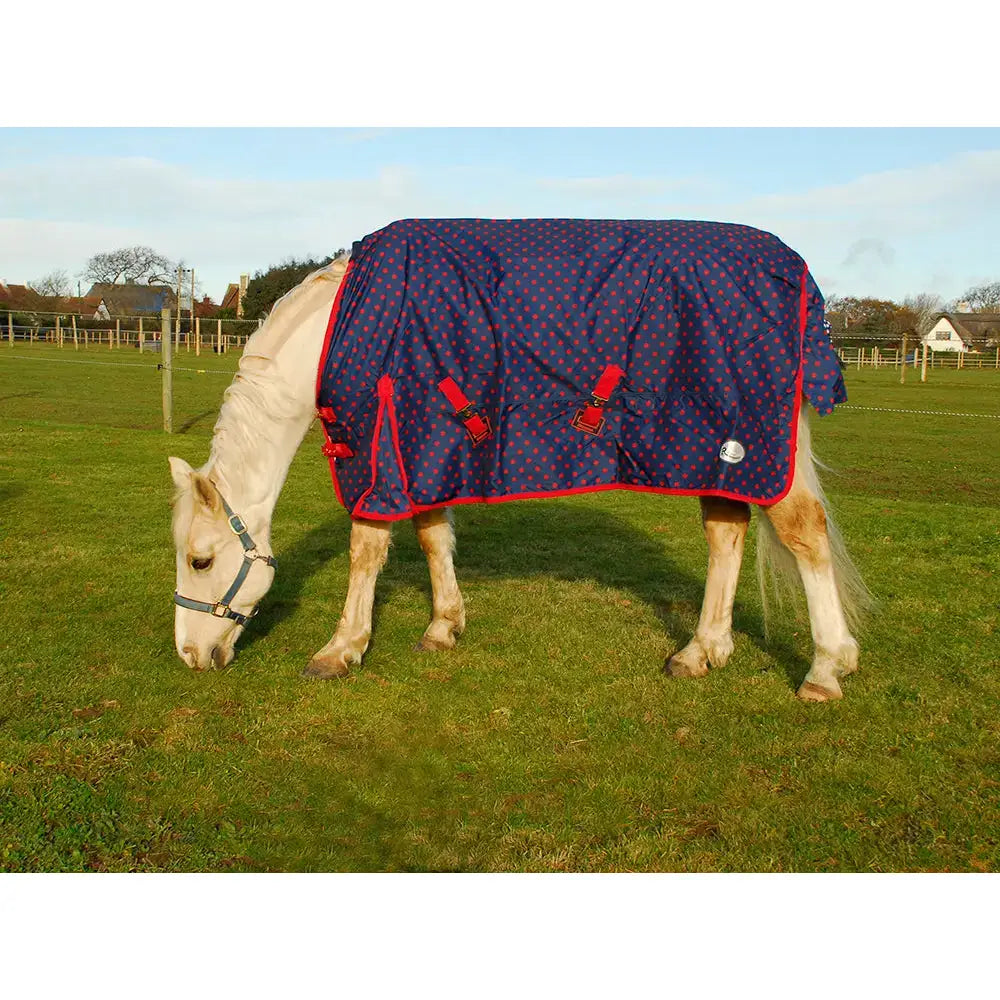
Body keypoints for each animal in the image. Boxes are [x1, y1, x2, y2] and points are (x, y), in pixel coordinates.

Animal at [169, 220, 867, 702]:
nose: (188, 657)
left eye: (201, 560)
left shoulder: (380, 455)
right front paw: (443, 626)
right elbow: (433, 535)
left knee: (804, 534)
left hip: (750, 443)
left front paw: (340, 649)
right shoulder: (425, 446)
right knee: (727, 534)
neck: (340, 328)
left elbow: (366, 548)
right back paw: (701, 651)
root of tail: (796, 274)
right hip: (709, 447)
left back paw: (826, 669)